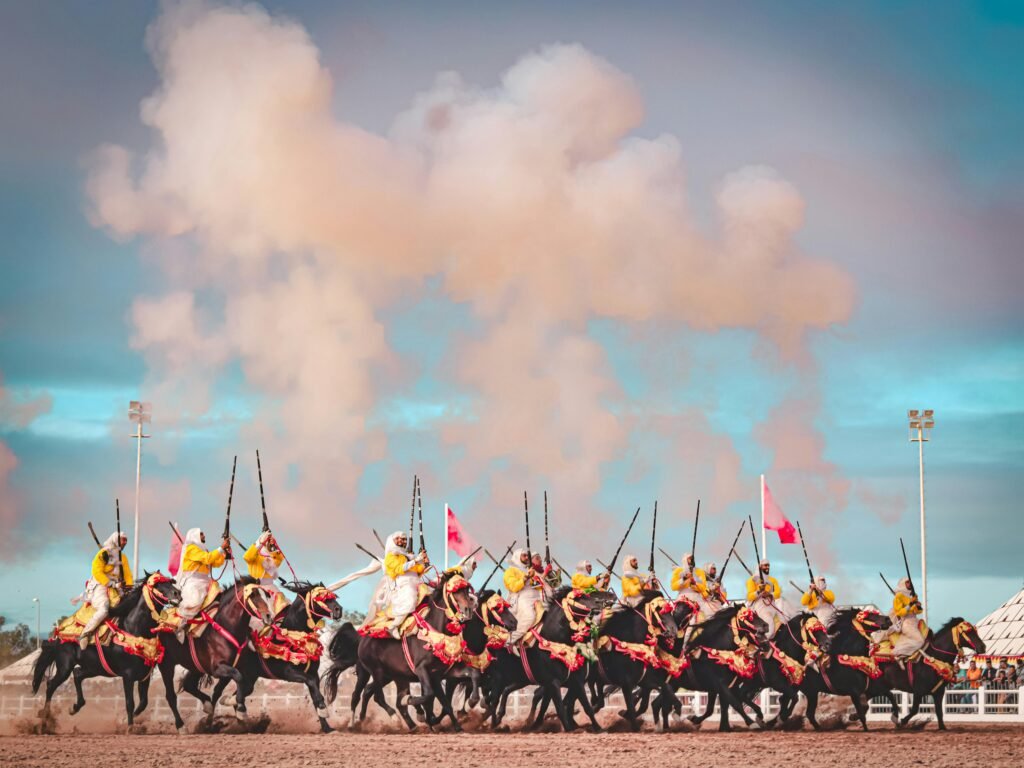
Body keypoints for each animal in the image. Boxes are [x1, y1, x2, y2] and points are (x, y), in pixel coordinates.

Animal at [30, 573, 182, 729]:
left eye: (170, 581)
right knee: (51, 685)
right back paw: (45, 718)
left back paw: (75, 707)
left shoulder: (144, 675)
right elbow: (130, 703)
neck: (135, 629)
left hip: (94, 668)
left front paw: (125, 721)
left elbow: (143, 702)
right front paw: (129, 727)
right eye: (157, 585)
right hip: (65, 666)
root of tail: (57, 634)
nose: (177, 593)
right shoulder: (128, 675)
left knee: (77, 674)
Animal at [153, 577, 270, 733]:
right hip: (166, 664)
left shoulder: (233, 667)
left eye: (266, 594)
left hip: (195, 667)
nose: (268, 616)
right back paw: (181, 726)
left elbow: (239, 687)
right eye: (253, 594)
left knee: (189, 685)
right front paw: (239, 709)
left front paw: (218, 716)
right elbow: (239, 679)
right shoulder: (217, 668)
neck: (227, 627)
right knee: (171, 696)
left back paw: (207, 706)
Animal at [207, 581, 344, 733]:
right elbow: (312, 686)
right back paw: (209, 723)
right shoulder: (289, 673)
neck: (294, 637)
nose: (339, 609)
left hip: (249, 677)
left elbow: (314, 693)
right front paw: (323, 710)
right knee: (217, 692)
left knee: (240, 693)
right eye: (321, 597)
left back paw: (242, 722)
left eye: (332, 595)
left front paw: (327, 727)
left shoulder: (314, 673)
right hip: (227, 671)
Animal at [481, 589, 614, 733]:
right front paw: (569, 728)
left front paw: (598, 728)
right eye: (580, 597)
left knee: (503, 693)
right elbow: (560, 707)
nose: (601, 603)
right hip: (499, 678)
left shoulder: (575, 680)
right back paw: (492, 724)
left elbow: (585, 706)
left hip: (520, 679)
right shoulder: (553, 682)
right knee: (493, 700)